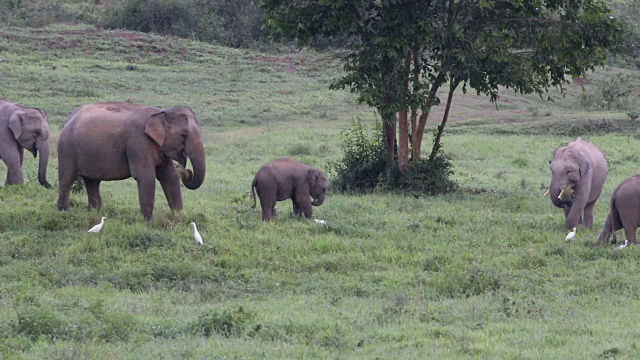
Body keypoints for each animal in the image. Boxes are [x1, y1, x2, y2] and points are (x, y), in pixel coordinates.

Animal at [56, 101, 205, 219]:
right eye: (183, 135)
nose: (186, 170)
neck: (161, 112)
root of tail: (70, 118)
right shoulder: (137, 141)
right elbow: (146, 177)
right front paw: (148, 221)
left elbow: (169, 176)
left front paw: (178, 217)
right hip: (67, 149)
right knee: (67, 179)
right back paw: (64, 212)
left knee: (92, 181)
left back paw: (94, 213)